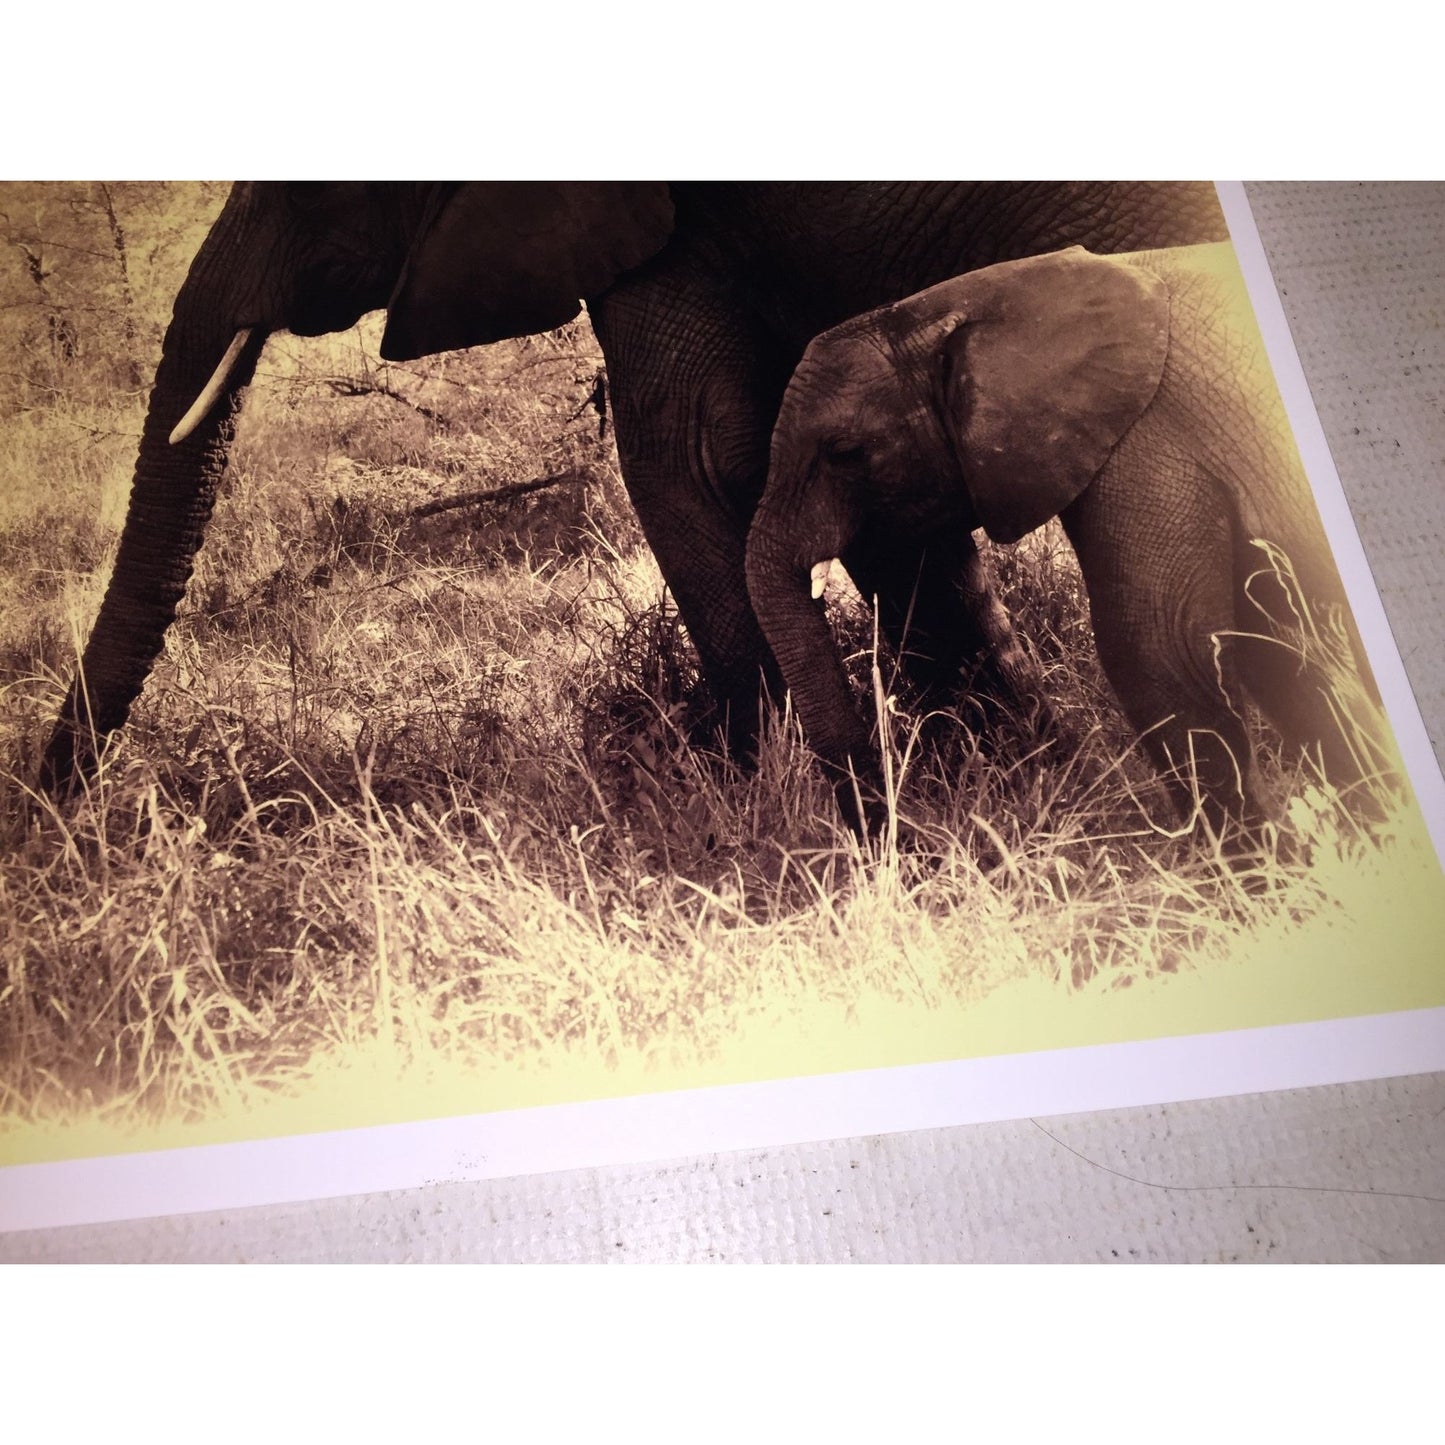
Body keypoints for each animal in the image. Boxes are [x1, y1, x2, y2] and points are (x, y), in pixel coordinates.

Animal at [745, 242, 1387, 843]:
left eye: (844, 453)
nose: (910, 840)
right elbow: (1277, 646)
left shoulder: (1144, 439)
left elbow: (1160, 646)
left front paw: (1254, 876)